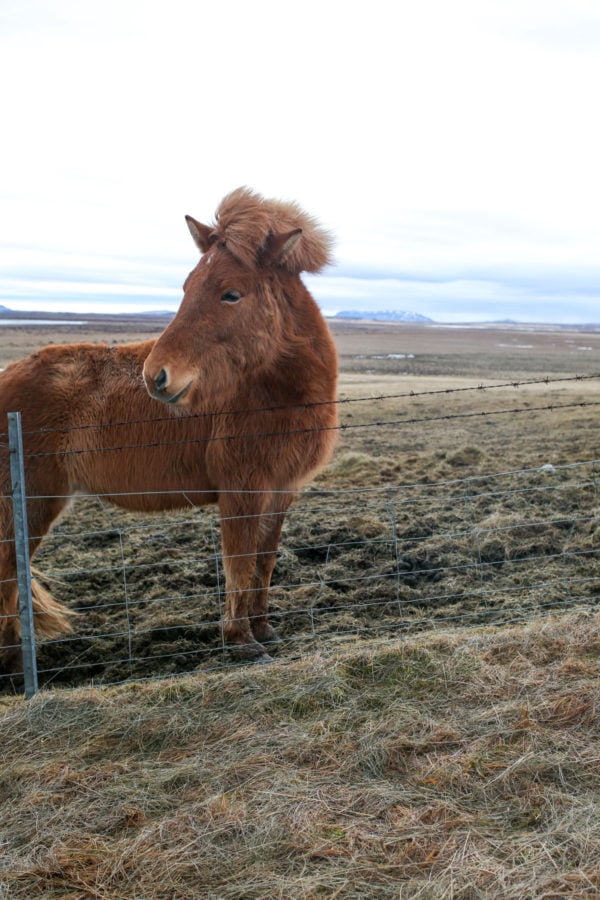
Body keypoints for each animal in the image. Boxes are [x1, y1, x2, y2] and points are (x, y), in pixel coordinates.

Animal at [0, 187, 338, 675]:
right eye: (185, 288)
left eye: (231, 294)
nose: (155, 376)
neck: (267, 390)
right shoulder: (242, 491)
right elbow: (238, 562)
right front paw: (241, 640)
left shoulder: (280, 492)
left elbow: (264, 561)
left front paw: (264, 629)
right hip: (31, 501)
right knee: (8, 572)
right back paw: (13, 665)